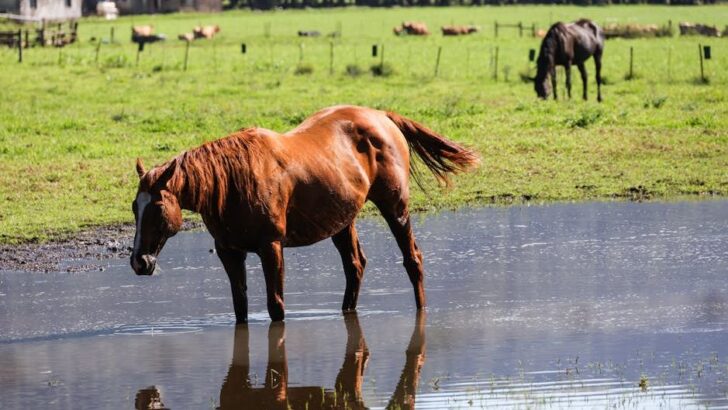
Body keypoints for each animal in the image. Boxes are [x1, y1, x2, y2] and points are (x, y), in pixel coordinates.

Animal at [130, 105, 479, 323]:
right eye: (135, 207)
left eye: (157, 208)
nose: (139, 262)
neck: (231, 184)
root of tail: (381, 116)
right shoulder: (230, 252)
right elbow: (240, 306)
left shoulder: (271, 247)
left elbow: (276, 306)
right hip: (343, 221)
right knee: (355, 266)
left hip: (396, 208)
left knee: (412, 260)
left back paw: (421, 312)